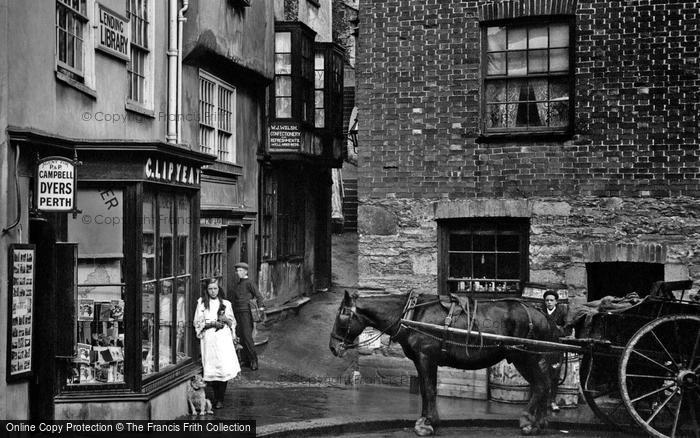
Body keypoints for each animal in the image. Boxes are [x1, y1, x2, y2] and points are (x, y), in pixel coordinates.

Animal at [330, 290, 564, 436]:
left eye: (342, 315)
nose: (333, 347)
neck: (412, 313)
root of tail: (542, 315)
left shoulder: (426, 357)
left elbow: (429, 389)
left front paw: (427, 424)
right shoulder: (422, 360)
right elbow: (426, 390)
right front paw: (426, 420)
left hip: (525, 357)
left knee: (541, 386)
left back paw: (528, 422)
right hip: (531, 358)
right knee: (543, 385)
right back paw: (538, 423)